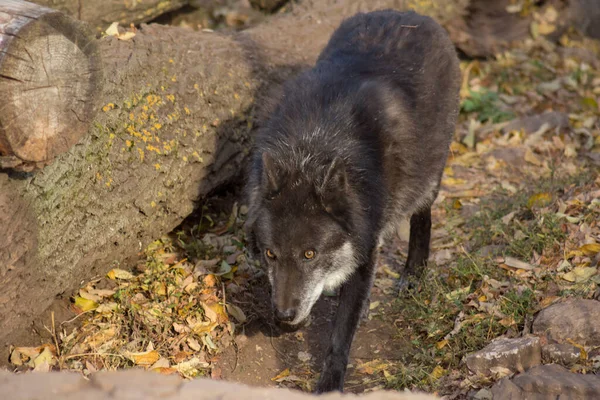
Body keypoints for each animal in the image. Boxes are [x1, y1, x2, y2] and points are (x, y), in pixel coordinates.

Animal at [244, 9, 460, 394]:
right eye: (270, 253)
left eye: (310, 254)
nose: (283, 316)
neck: (312, 150)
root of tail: (410, 14)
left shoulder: (365, 250)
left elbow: (341, 334)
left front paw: (330, 383)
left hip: (427, 176)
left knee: (422, 216)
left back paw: (413, 275)